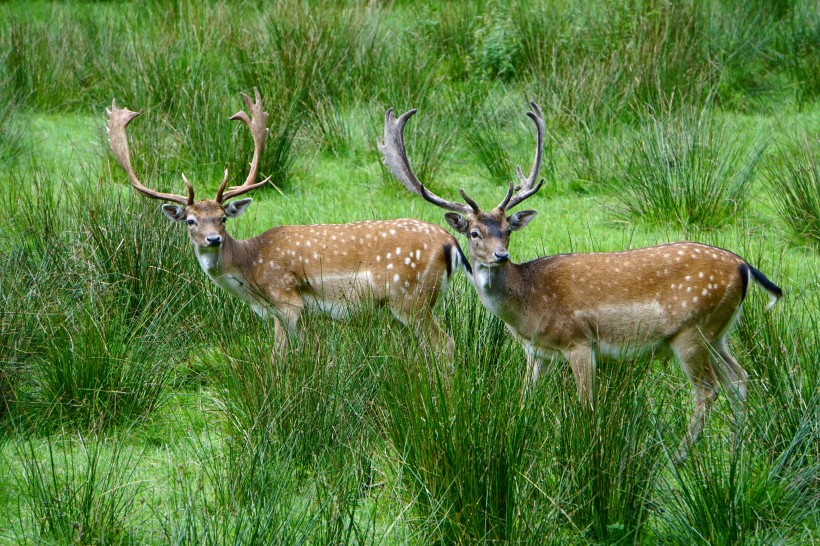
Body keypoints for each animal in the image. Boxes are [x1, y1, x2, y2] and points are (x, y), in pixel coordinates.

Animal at [105, 90, 470, 356]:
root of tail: (450, 242)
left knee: (446, 343)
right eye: (191, 221)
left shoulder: (286, 302)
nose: (213, 240)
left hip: (411, 298)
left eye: (222, 219)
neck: (250, 273)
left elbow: (279, 358)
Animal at [382, 103, 784, 460]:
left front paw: (586, 453)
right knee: (741, 379)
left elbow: (586, 406)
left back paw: (678, 458)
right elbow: (524, 401)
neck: (529, 306)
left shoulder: (580, 342)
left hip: (691, 331)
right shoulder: (537, 352)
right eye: (475, 232)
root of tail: (744, 267)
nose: (501, 257)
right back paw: (734, 453)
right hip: (718, 332)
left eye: (508, 230)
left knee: (709, 391)